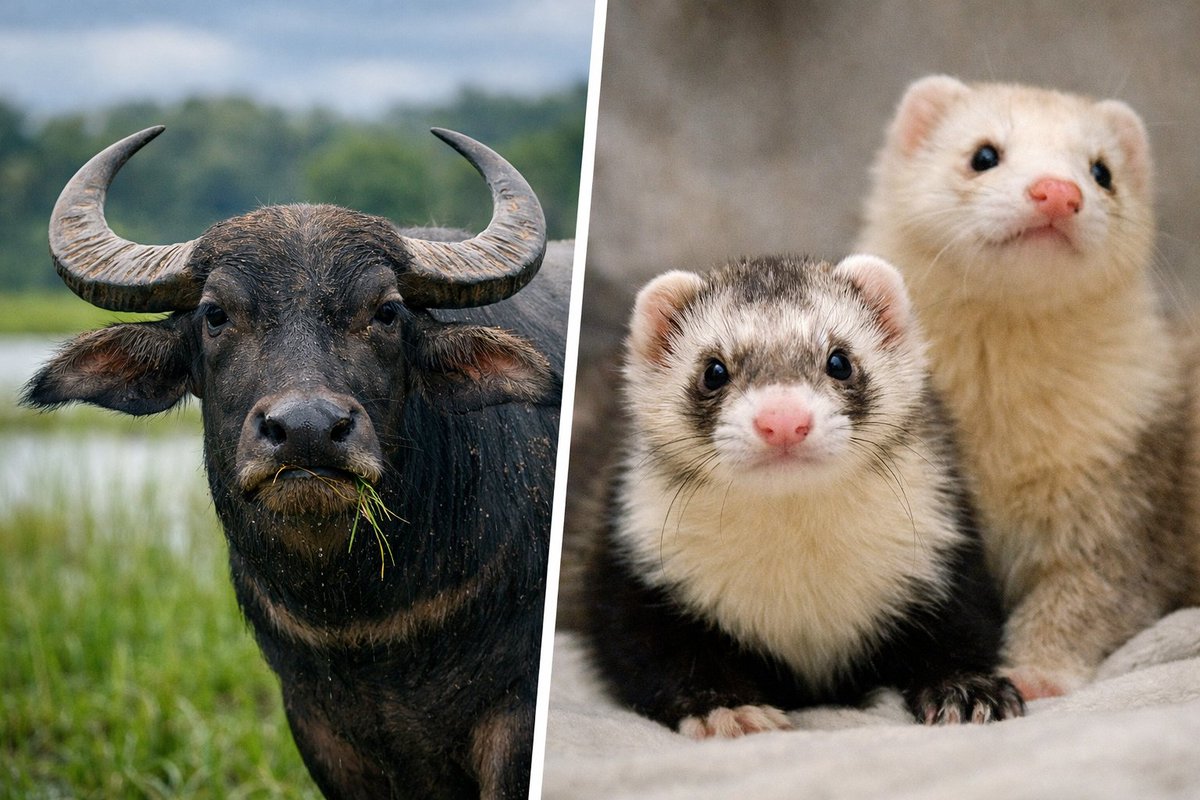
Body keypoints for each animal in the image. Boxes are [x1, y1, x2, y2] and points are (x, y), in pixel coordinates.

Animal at [24, 126, 570, 799]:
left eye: (386, 312)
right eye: (215, 315)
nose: (307, 431)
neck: (366, 624)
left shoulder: (515, 722)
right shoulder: (317, 728)